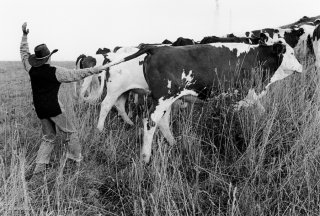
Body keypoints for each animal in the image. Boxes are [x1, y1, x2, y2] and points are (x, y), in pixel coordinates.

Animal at [99, 40, 302, 163]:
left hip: (165, 99)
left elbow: (261, 112)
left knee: (160, 121)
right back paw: (143, 155)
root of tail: (157, 48)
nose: (301, 66)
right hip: (152, 96)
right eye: (291, 53)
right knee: (142, 120)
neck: (256, 57)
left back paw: (173, 143)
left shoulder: (248, 96)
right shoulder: (240, 96)